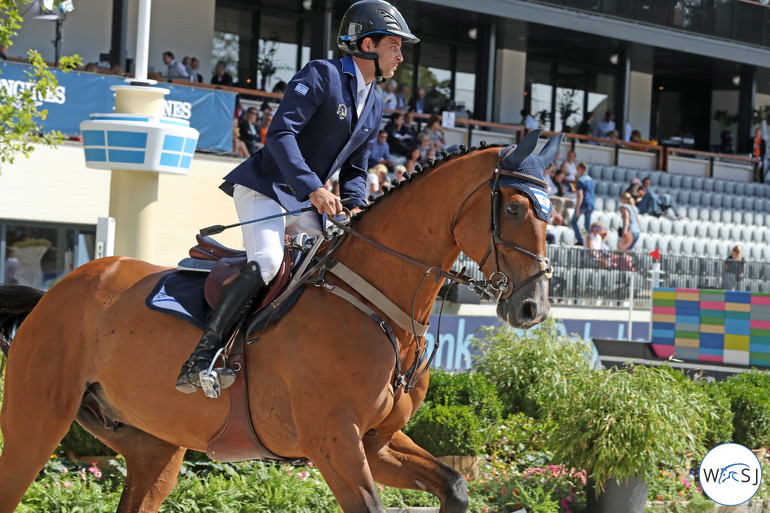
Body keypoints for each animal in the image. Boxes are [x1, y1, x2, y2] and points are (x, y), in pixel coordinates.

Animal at [0, 130, 560, 510]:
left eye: (551, 213)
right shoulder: (333, 441)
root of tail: (57, 290)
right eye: (514, 209)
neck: (375, 303)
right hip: (38, 420)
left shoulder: (375, 442)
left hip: (151, 444)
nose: (532, 308)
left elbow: (455, 484)